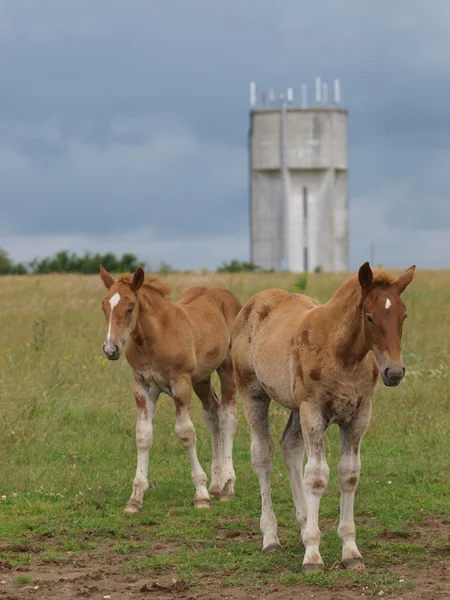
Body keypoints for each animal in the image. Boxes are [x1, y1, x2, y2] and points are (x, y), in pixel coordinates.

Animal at [100, 266, 243, 510]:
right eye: (104, 307)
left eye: (130, 307)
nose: (111, 349)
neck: (154, 337)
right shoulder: (142, 386)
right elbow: (143, 435)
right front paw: (135, 497)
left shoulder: (180, 384)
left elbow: (186, 433)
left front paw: (201, 494)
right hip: (201, 378)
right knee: (212, 414)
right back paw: (216, 484)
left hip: (227, 368)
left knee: (227, 416)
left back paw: (227, 486)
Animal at [232, 262, 414, 572]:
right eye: (369, 317)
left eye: (403, 315)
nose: (394, 372)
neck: (341, 354)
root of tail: (253, 303)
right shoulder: (314, 412)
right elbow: (316, 476)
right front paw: (313, 555)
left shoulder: (359, 416)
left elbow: (349, 474)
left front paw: (350, 551)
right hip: (254, 394)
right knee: (263, 454)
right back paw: (271, 538)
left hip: (295, 408)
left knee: (290, 447)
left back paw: (305, 523)